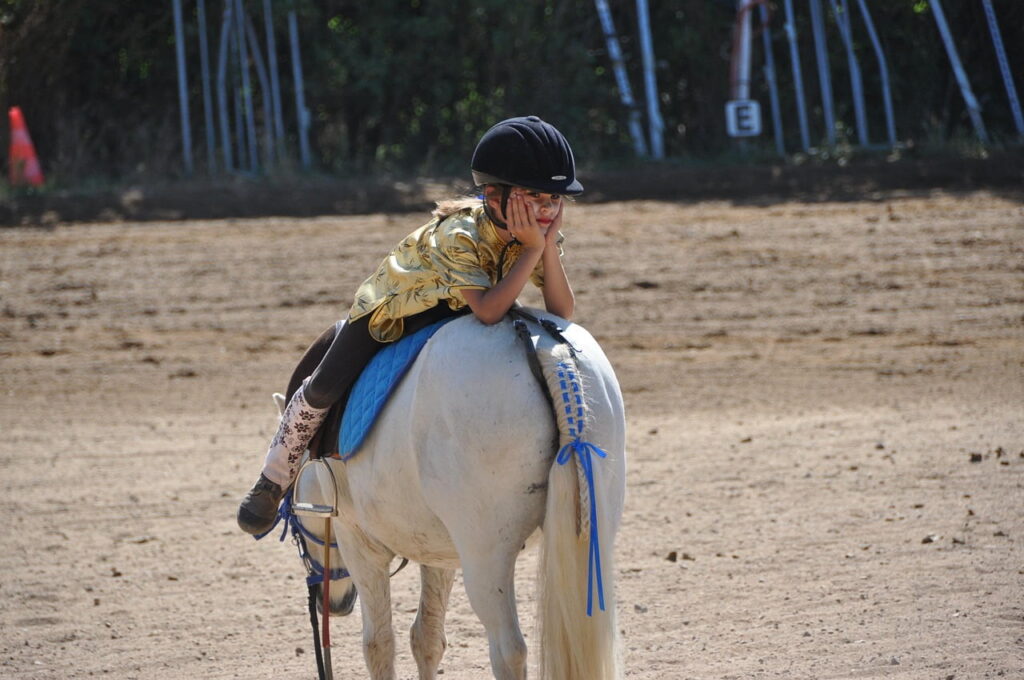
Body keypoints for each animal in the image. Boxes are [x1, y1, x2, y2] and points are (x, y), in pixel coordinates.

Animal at [282, 309, 626, 680]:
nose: (333, 604)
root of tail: (552, 354)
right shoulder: (439, 552)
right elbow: (427, 638)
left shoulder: (358, 542)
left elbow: (378, 644)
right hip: (589, 541)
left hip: (486, 559)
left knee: (509, 650)